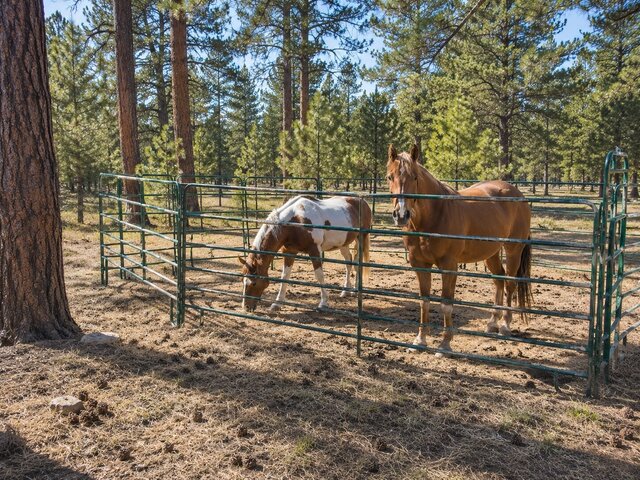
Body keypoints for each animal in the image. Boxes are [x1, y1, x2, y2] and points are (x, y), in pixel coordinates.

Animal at [239, 195, 371, 312]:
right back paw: (346, 291)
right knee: (349, 261)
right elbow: (284, 276)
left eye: (254, 283)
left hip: (361, 238)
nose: (246, 307)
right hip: (343, 244)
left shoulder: (314, 250)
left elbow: (319, 275)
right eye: (243, 281)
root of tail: (363, 201)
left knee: (358, 262)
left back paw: (355, 289)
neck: (296, 220)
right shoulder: (289, 251)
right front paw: (277, 303)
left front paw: (323, 302)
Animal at [386, 144, 532, 355]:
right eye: (390, 177)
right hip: (491, 253)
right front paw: (420, 340)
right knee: (499, 280)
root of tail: (518, 194)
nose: (401, 214)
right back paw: (492, 323)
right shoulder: (420, 265)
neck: (435, 214)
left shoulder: (449, 266)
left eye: (414, 177)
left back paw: (505, 325)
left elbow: (446, 304)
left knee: (509, 283)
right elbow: (424, 302)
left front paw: (445, 343)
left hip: (513, 250)